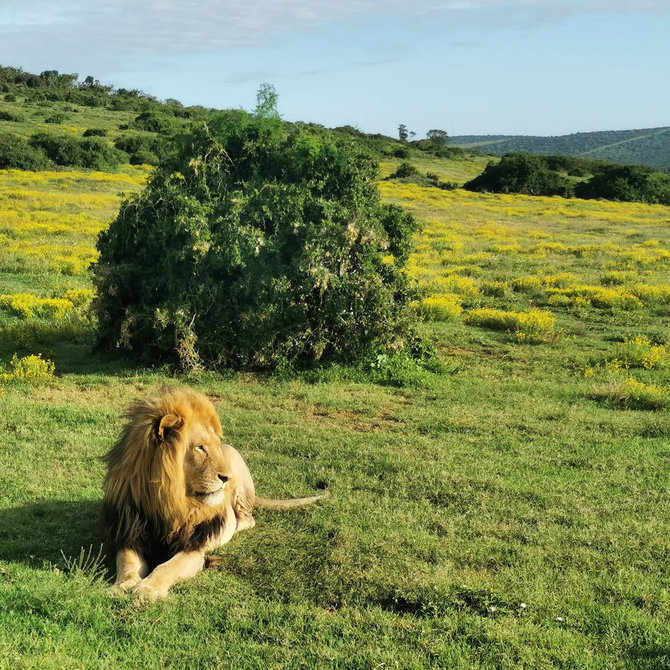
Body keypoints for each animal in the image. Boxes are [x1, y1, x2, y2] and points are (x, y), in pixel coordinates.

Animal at [101, 386, 328, 600]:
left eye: (211, 447)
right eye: (200, 448)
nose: (226, 477)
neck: (167, 500)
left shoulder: (194, 548)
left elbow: (166, 567)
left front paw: (148, 588)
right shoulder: (130, 534)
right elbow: (127, 562)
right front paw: (122, 585)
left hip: (237, 475)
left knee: (247, 519)